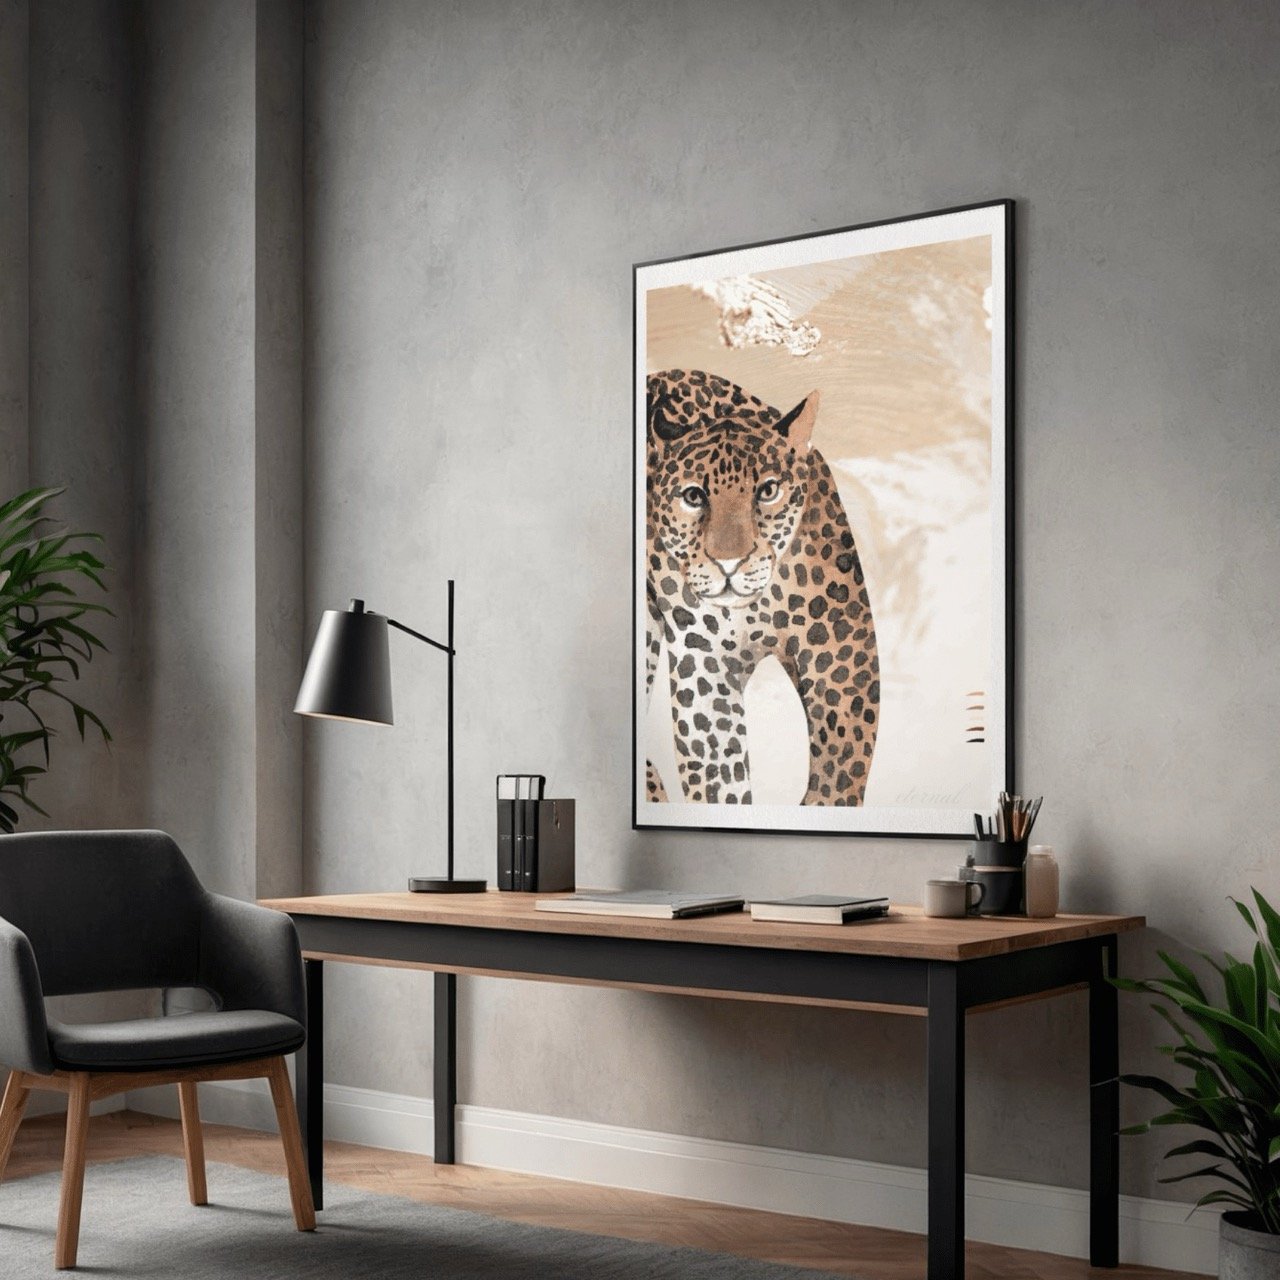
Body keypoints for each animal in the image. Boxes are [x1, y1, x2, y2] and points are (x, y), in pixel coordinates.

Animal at [644, 368, 879, 806]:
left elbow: (842, 762)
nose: (729, 562)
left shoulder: (841, 648)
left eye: (767, 491)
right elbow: (719, 776)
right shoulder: (706, 668)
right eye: (693, 496)